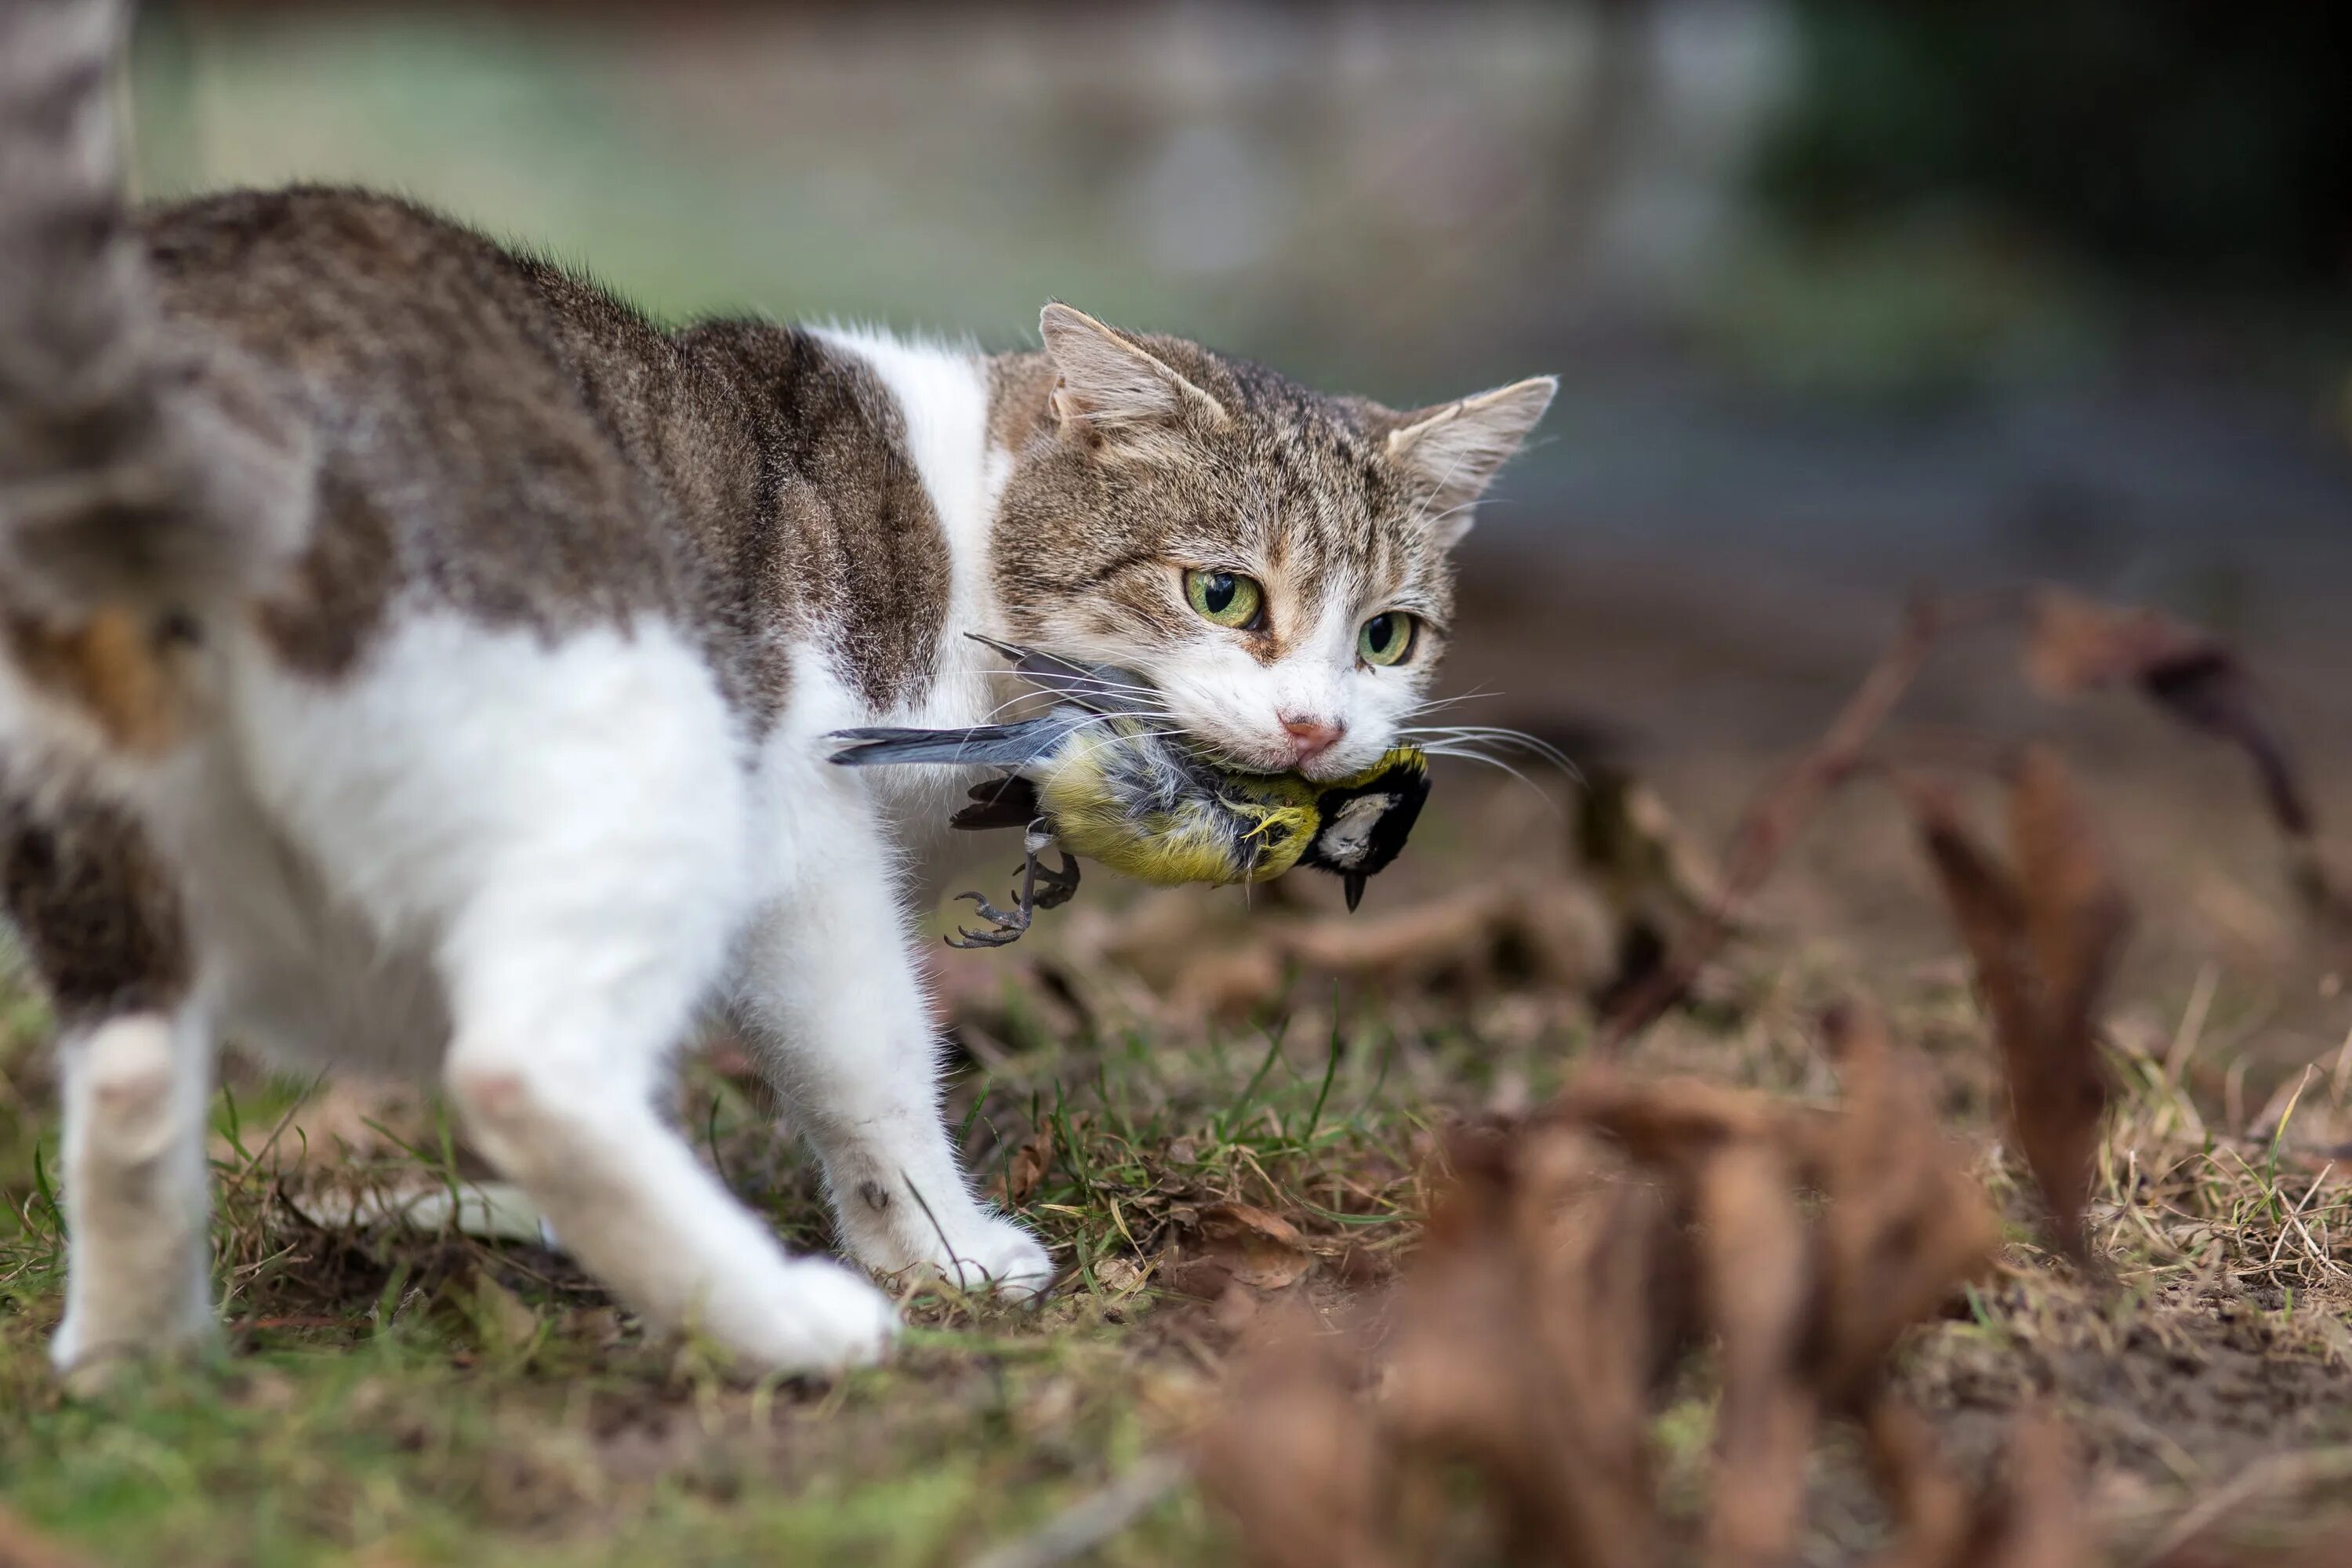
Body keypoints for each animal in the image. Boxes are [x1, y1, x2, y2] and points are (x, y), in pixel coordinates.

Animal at [4, 0, 1562, 1373]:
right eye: (1222, 593)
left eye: (1389, 636)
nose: (1316, 725)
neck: (961, 525)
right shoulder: (804, 828)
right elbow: (867, 1060)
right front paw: (940, 1254)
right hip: (649, 752)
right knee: (521, 1068)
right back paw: (784, 1326)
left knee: (131, 1077)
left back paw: (143, 1367)